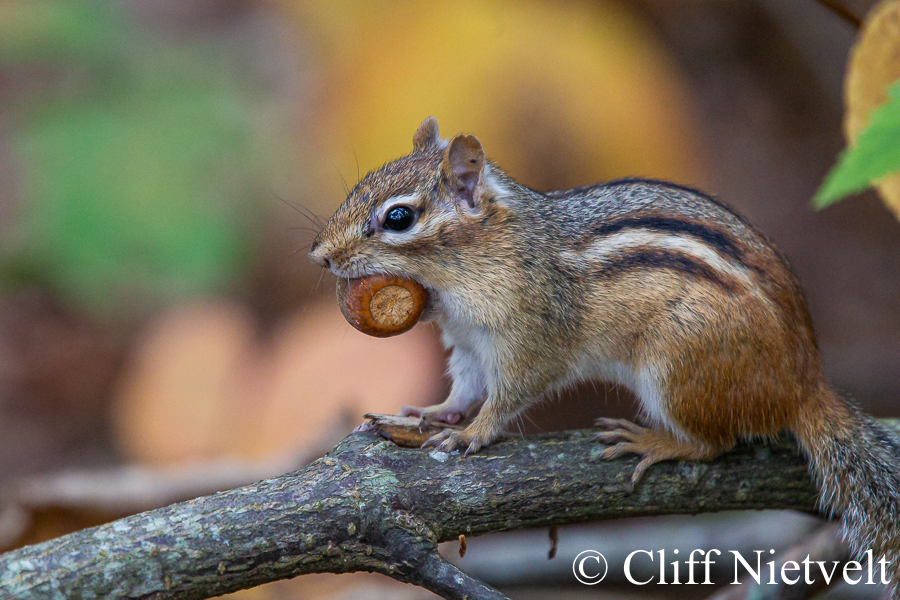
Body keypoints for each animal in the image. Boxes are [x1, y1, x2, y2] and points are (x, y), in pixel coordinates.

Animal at [309, 117, 900, 594]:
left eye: (399, 218)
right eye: (362, 185)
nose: (319, 256)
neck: (473, 266)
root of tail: (805, 383)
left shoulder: (529, 337)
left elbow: (508, 395)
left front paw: (471, 433)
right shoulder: (469, 344)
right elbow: (464, 389)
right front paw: (429, 414)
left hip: (676, 366)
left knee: (715, 443)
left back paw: (655, 441)